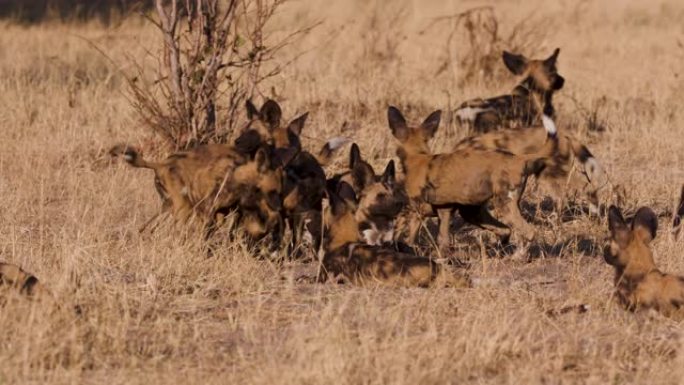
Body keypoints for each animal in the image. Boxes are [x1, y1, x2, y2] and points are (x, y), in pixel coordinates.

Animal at [388, 105, 560, 250]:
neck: (418, 157)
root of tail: (518, 158)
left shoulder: (417, 212)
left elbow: (409, 238)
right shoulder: (446, 210)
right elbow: (442, 241)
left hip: (503, 204)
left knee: (529, 232)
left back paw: (517, 257)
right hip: (474, 213)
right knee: (506, 230)